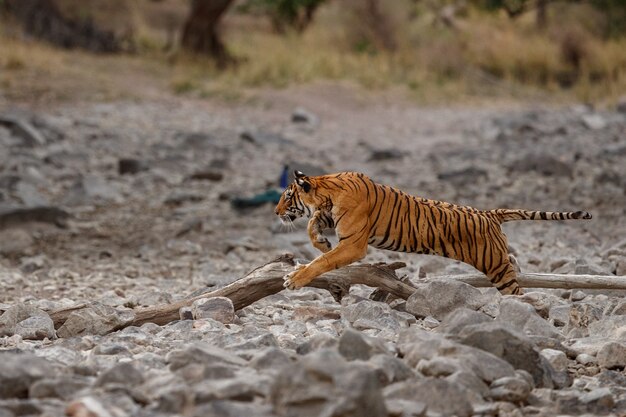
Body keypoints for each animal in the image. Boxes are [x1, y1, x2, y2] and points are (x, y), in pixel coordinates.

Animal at [272, 171, 588, 294]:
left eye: (287, 196)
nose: (275, 212)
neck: (327, 190)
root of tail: (489, 214)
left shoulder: (354, 243)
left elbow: (322, 262)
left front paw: (295, 278)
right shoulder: (332, 219)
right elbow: (313, 227)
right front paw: (321, 243)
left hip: (495, 266)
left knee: (516, 290)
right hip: (499, 260)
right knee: (515, 265)